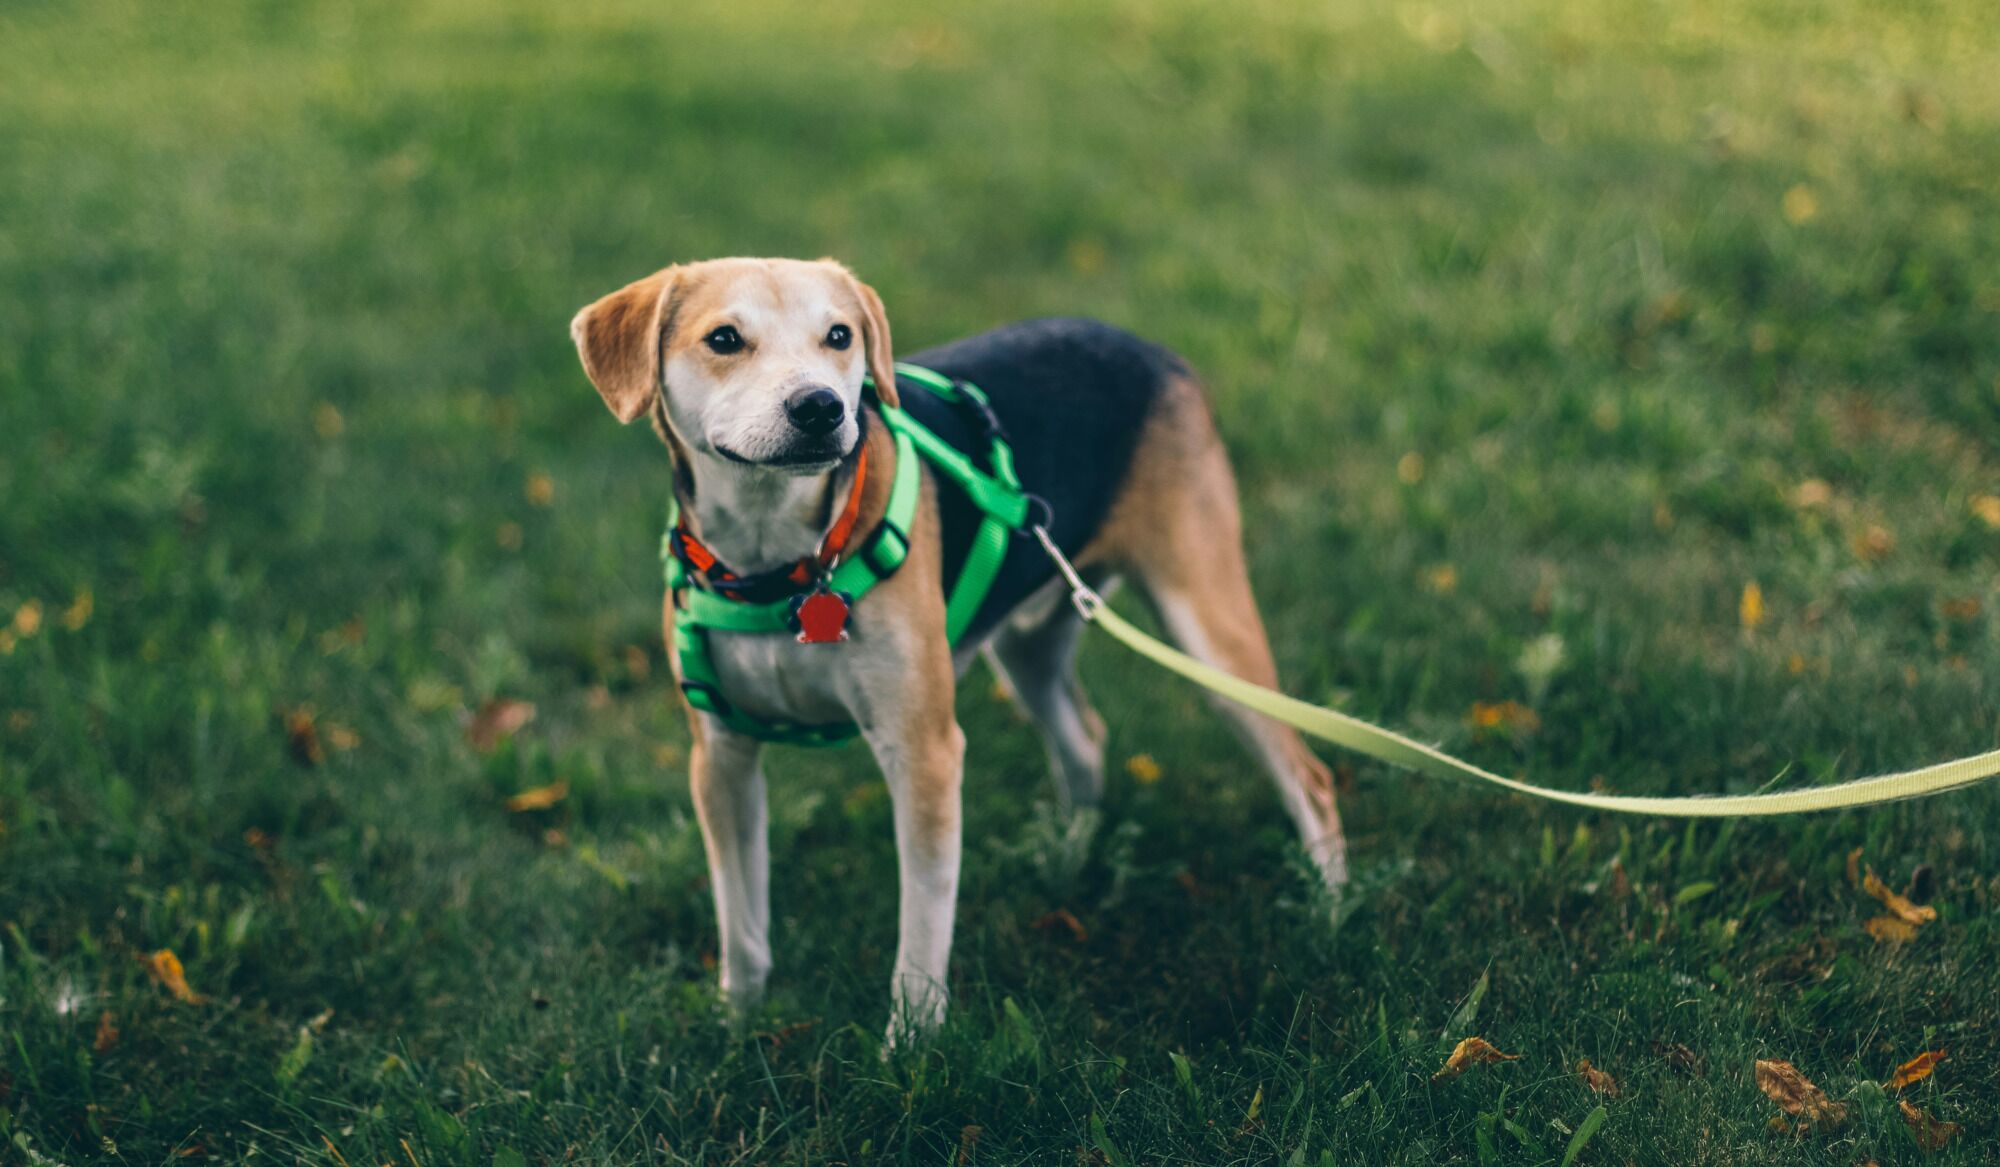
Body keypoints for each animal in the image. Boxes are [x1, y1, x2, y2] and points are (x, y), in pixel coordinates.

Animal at [564, 257, 1344, 1039]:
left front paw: (910, 1044)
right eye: (724, 338)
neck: (781, 564)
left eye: (839, 336)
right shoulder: (720, 757)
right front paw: (738, 1022)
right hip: (1029, 647)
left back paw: (1329, 910)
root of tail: (1149, 348)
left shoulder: (924, 752)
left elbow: (922, 924)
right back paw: (1071, 854)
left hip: (1207, 626)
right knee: (1085, 737)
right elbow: (741, 918)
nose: (821, 408)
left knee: (1310, 776)